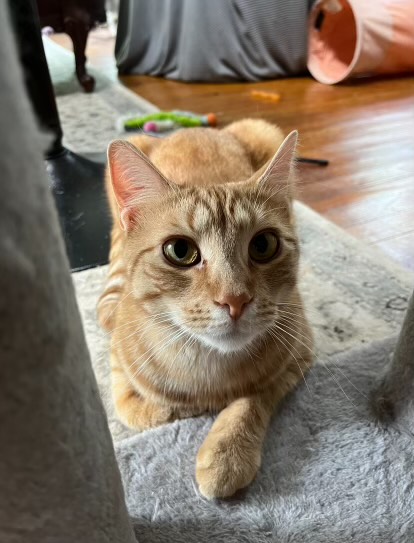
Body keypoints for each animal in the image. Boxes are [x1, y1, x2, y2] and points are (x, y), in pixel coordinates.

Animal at [98, 120, 310, 502]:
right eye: (180, 251)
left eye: (264, 245)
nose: (235, 299)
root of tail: (193, 128)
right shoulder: (119, 350)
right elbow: (129, 402)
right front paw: (163, 408)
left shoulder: (298, 355)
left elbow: (253, 398)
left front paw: (228, 454)